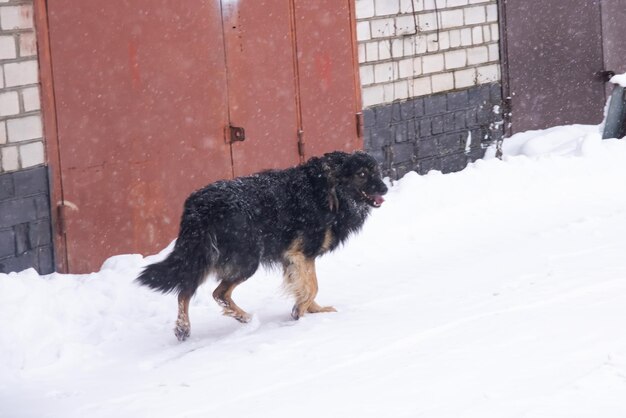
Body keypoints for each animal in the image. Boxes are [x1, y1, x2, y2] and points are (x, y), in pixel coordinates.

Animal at [136, 150, 386, 340]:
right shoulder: (302, 253)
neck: (329, 188)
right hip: (246, 259)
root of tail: (199, 206)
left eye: (376, 171)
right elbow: (312, 286)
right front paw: (299, 311)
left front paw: (313, 309)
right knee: (219, 292)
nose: (384, 188)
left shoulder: (293, 259)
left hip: (201, 255)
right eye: (362, 174)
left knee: (185, 290)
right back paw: (244, 318)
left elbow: (305, 286)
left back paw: (183, 327)